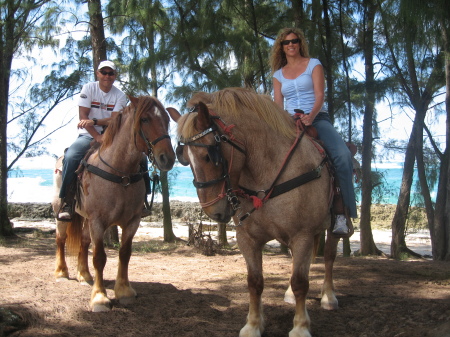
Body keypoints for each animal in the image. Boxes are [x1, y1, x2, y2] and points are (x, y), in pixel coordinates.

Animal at [51, 94, 174, 310]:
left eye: (167, 120)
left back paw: (84, 275)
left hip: (85, 218)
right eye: (145, 119)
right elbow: (99, 257)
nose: (167, 157)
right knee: (60, 238)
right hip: (62, 211)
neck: (120, 171)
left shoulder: (132, 221)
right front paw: (99, 297)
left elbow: (124, 253)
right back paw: (61, 273)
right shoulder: (98, 222)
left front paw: (124, 290)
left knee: (84, 242)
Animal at [167, 88, 340, 336]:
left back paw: (329, 296)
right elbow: (255, 282)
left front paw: (300, 326)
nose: (214, 212)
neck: (265, 174)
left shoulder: (302, 235)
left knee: (328, 258)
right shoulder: (247, 238)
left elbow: (300, 282)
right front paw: (253, 324)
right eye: (184, 159)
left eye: (209, 156)